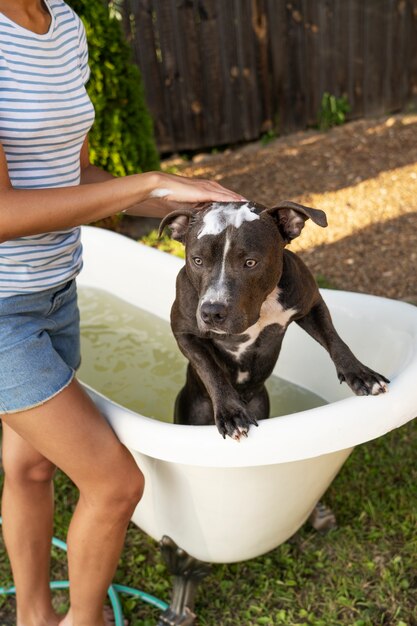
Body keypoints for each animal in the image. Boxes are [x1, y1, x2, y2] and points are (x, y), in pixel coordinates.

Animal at [158, 200, 388, 438]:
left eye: (250, 262)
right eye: (197, 260)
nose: (212, 312)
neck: (263, 304)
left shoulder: (312, 305)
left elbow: (334, 339)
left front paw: (360, 373)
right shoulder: (185, 332)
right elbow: (210, 369)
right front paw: (231, 411)